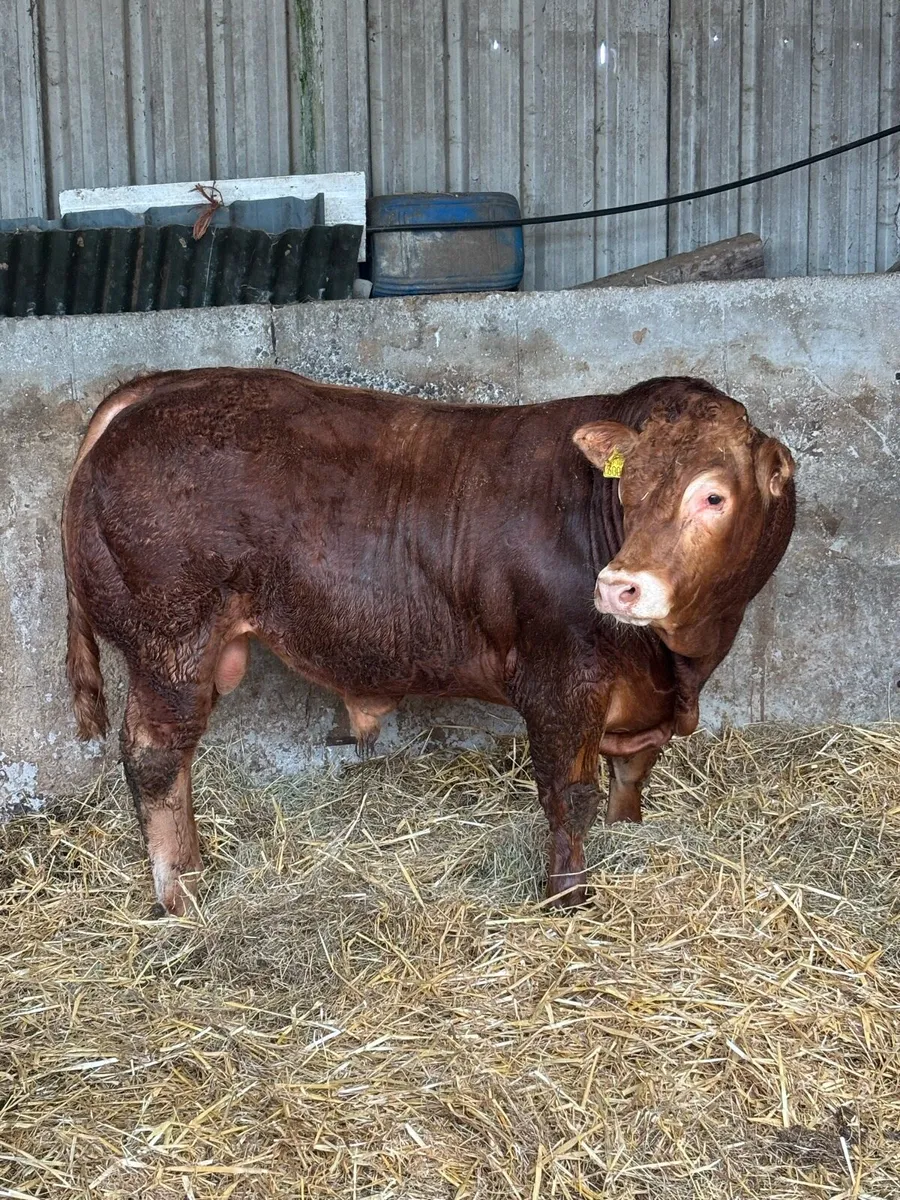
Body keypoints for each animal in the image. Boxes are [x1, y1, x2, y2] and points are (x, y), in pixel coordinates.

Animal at [61, 368, 795, 915]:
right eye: (628, 490)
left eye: (713, 496)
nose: (619, 586)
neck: (681, 661)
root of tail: (159, 389)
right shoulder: (561, 680)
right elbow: (569, 793)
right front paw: (568, 898)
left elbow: (630, 781)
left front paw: (628, 839)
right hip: (169, 638)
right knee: (155, 755)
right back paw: (180, 892)